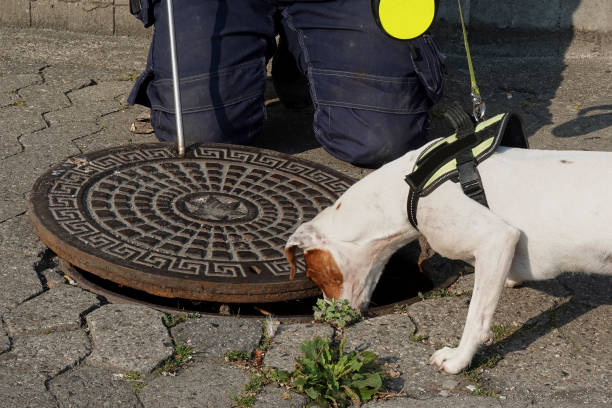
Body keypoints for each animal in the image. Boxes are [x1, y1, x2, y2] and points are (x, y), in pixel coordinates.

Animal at [286, 142, 612, 374]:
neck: (406, 191)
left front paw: (458, 359)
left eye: (315, 275)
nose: (330, 321)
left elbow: (475, 317)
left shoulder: (497, 239)